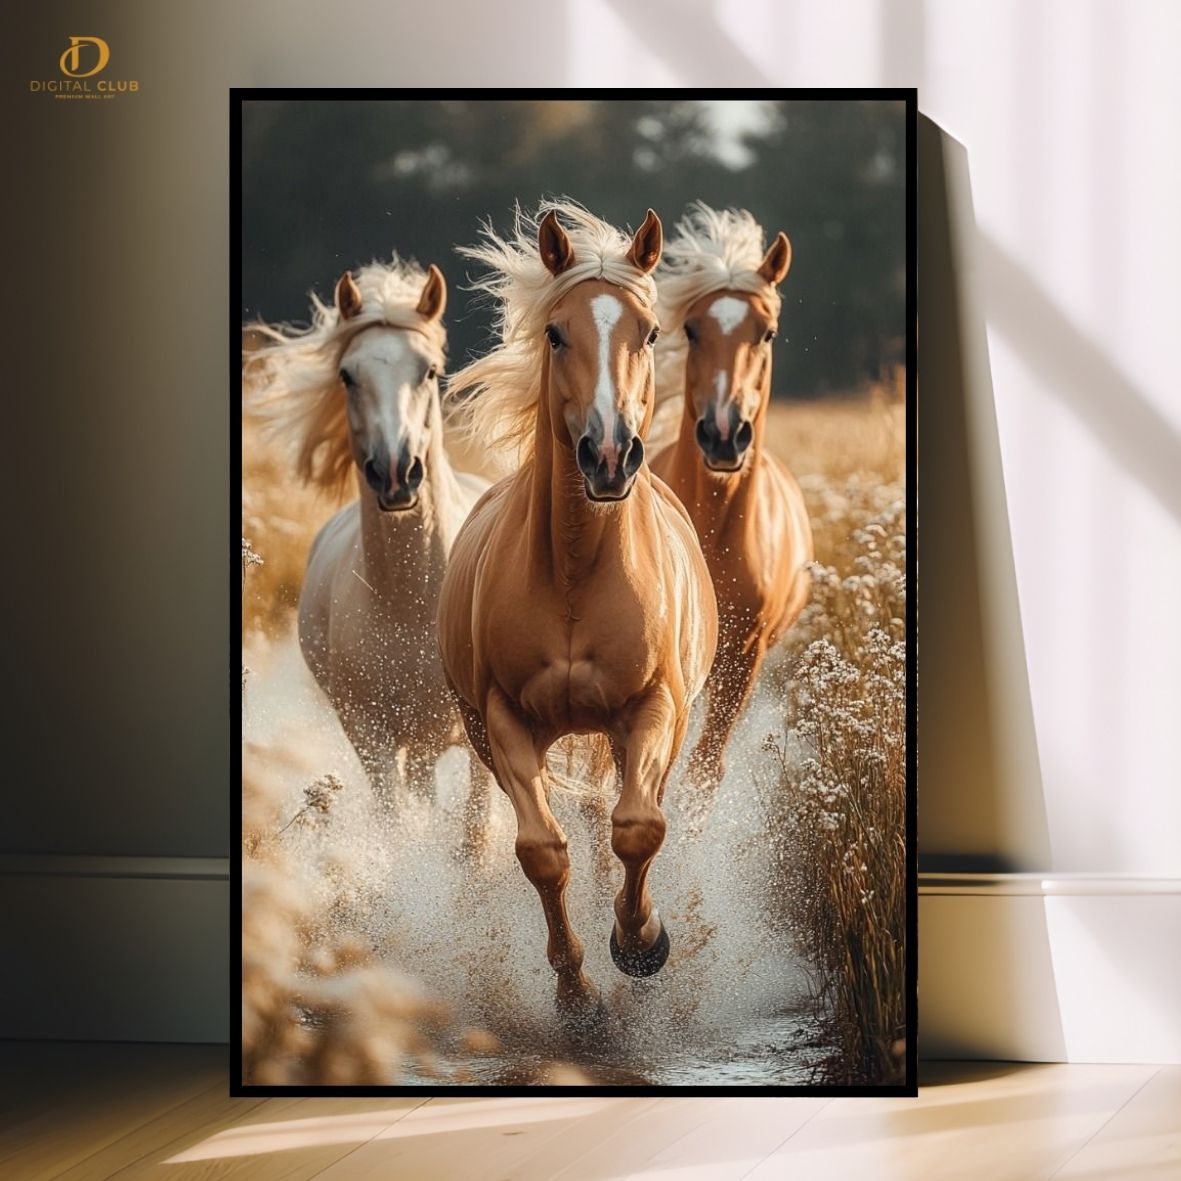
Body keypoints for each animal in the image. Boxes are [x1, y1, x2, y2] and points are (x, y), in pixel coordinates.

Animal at [245, 258, 493, 847]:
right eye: (347, 375)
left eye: (428, 371)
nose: (396, 472)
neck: (415, 601)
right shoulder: (372, 739)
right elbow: (397, 829)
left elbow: (474, 838)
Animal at [439, 201, 717, 1009]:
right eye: (556, 333)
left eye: (650, 333)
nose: (609, 455)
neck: (574, 571)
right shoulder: (503, 719)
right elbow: (542, 850)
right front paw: (576, 992)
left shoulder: (655, 706)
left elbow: (637, 828)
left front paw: (641, 942)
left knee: (614, 816)